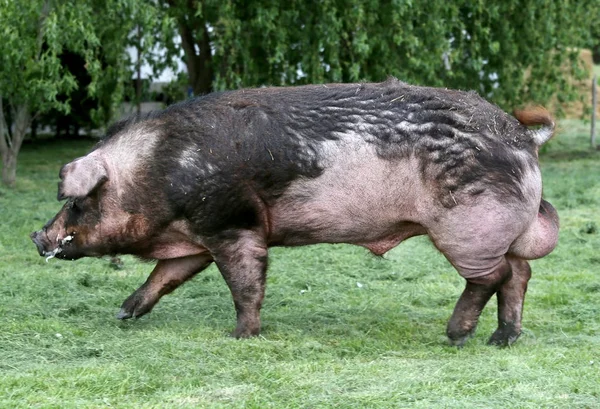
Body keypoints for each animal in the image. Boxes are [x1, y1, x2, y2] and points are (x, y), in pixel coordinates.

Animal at [31, 79, 556, 344]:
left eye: (77, 201)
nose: (37, 236)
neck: (158, 171)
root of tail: (523, 136)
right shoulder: (195, 239)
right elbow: (164, 276)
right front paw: (123, 313)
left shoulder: (233, 224)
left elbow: (245, 284)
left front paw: (241, 337)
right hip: (497, 233)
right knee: (520, 274)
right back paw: (502, 339)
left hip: (468, 227)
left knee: (492, 277)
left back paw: (455, 336)